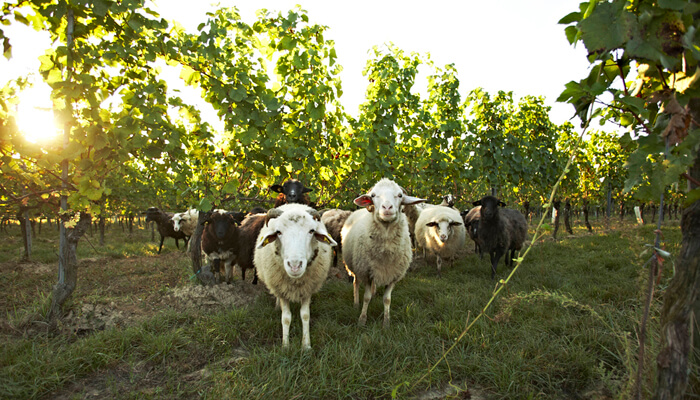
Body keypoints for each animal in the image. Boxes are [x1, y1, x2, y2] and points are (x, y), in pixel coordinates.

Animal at [253, 205, 338, 348]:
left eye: (311, 231)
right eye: (278, 232)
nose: (295, 265)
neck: (295, 281)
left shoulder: (307, 289)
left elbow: (305, 316)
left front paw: (306, 345)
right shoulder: (282, 290)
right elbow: (286, 318)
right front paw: (285, 345)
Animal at [340, 179, 424, 328]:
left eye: (400, 195)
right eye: (373, 195)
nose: (387, 207)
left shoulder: (393, 275)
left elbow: (387, 299)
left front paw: (386, 323)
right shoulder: (366, 272)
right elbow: (366, 297)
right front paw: (362, 320)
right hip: (355, 266)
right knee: (356, 283)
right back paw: (356, 303)